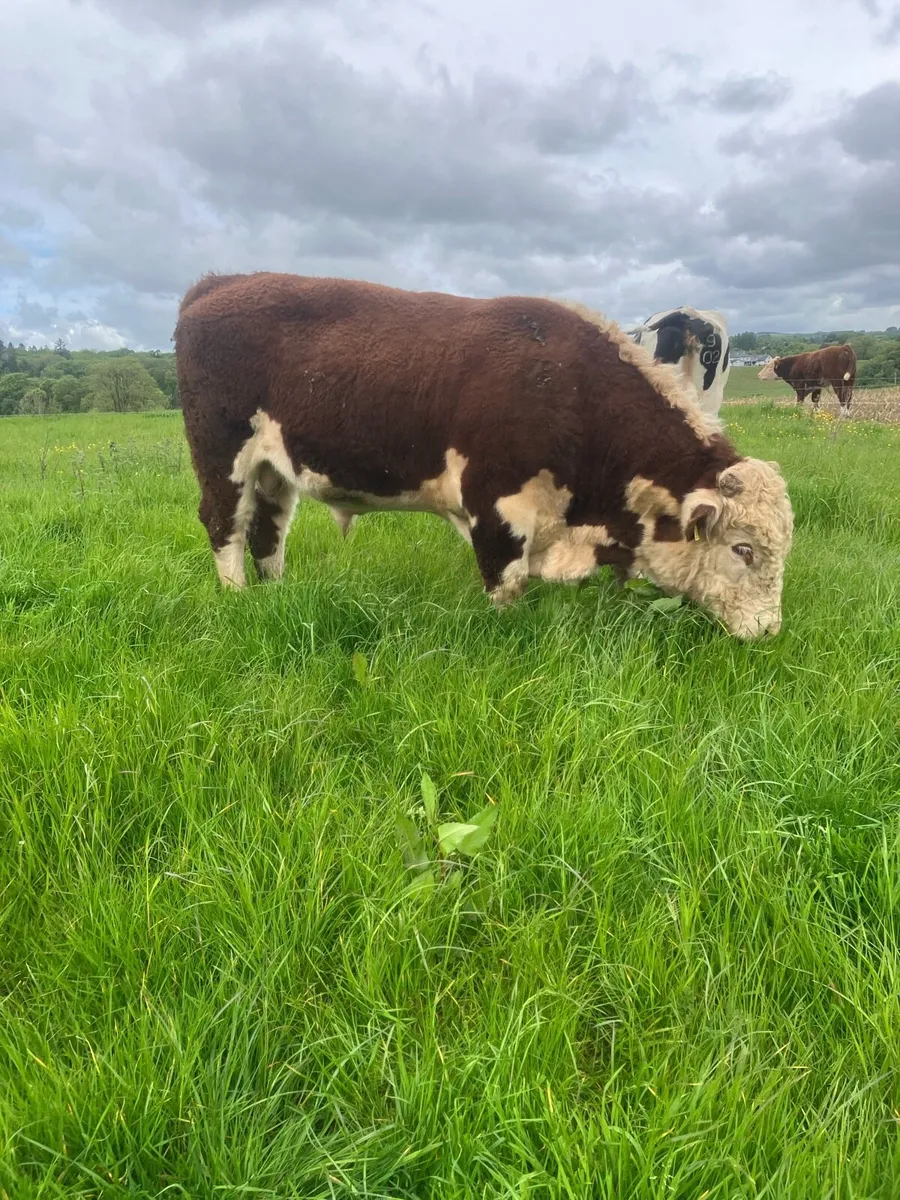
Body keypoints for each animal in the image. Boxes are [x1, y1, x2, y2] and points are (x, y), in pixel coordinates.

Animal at [174, 273, 794, 639]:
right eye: (742, 548)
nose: (769, 630)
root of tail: (222, 281)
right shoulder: (498, 506)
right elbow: (506, 584)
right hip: (223, 453)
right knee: (226, 524)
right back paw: (236, 599)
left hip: (274, 469)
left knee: (268, 531)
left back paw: (276, 596)